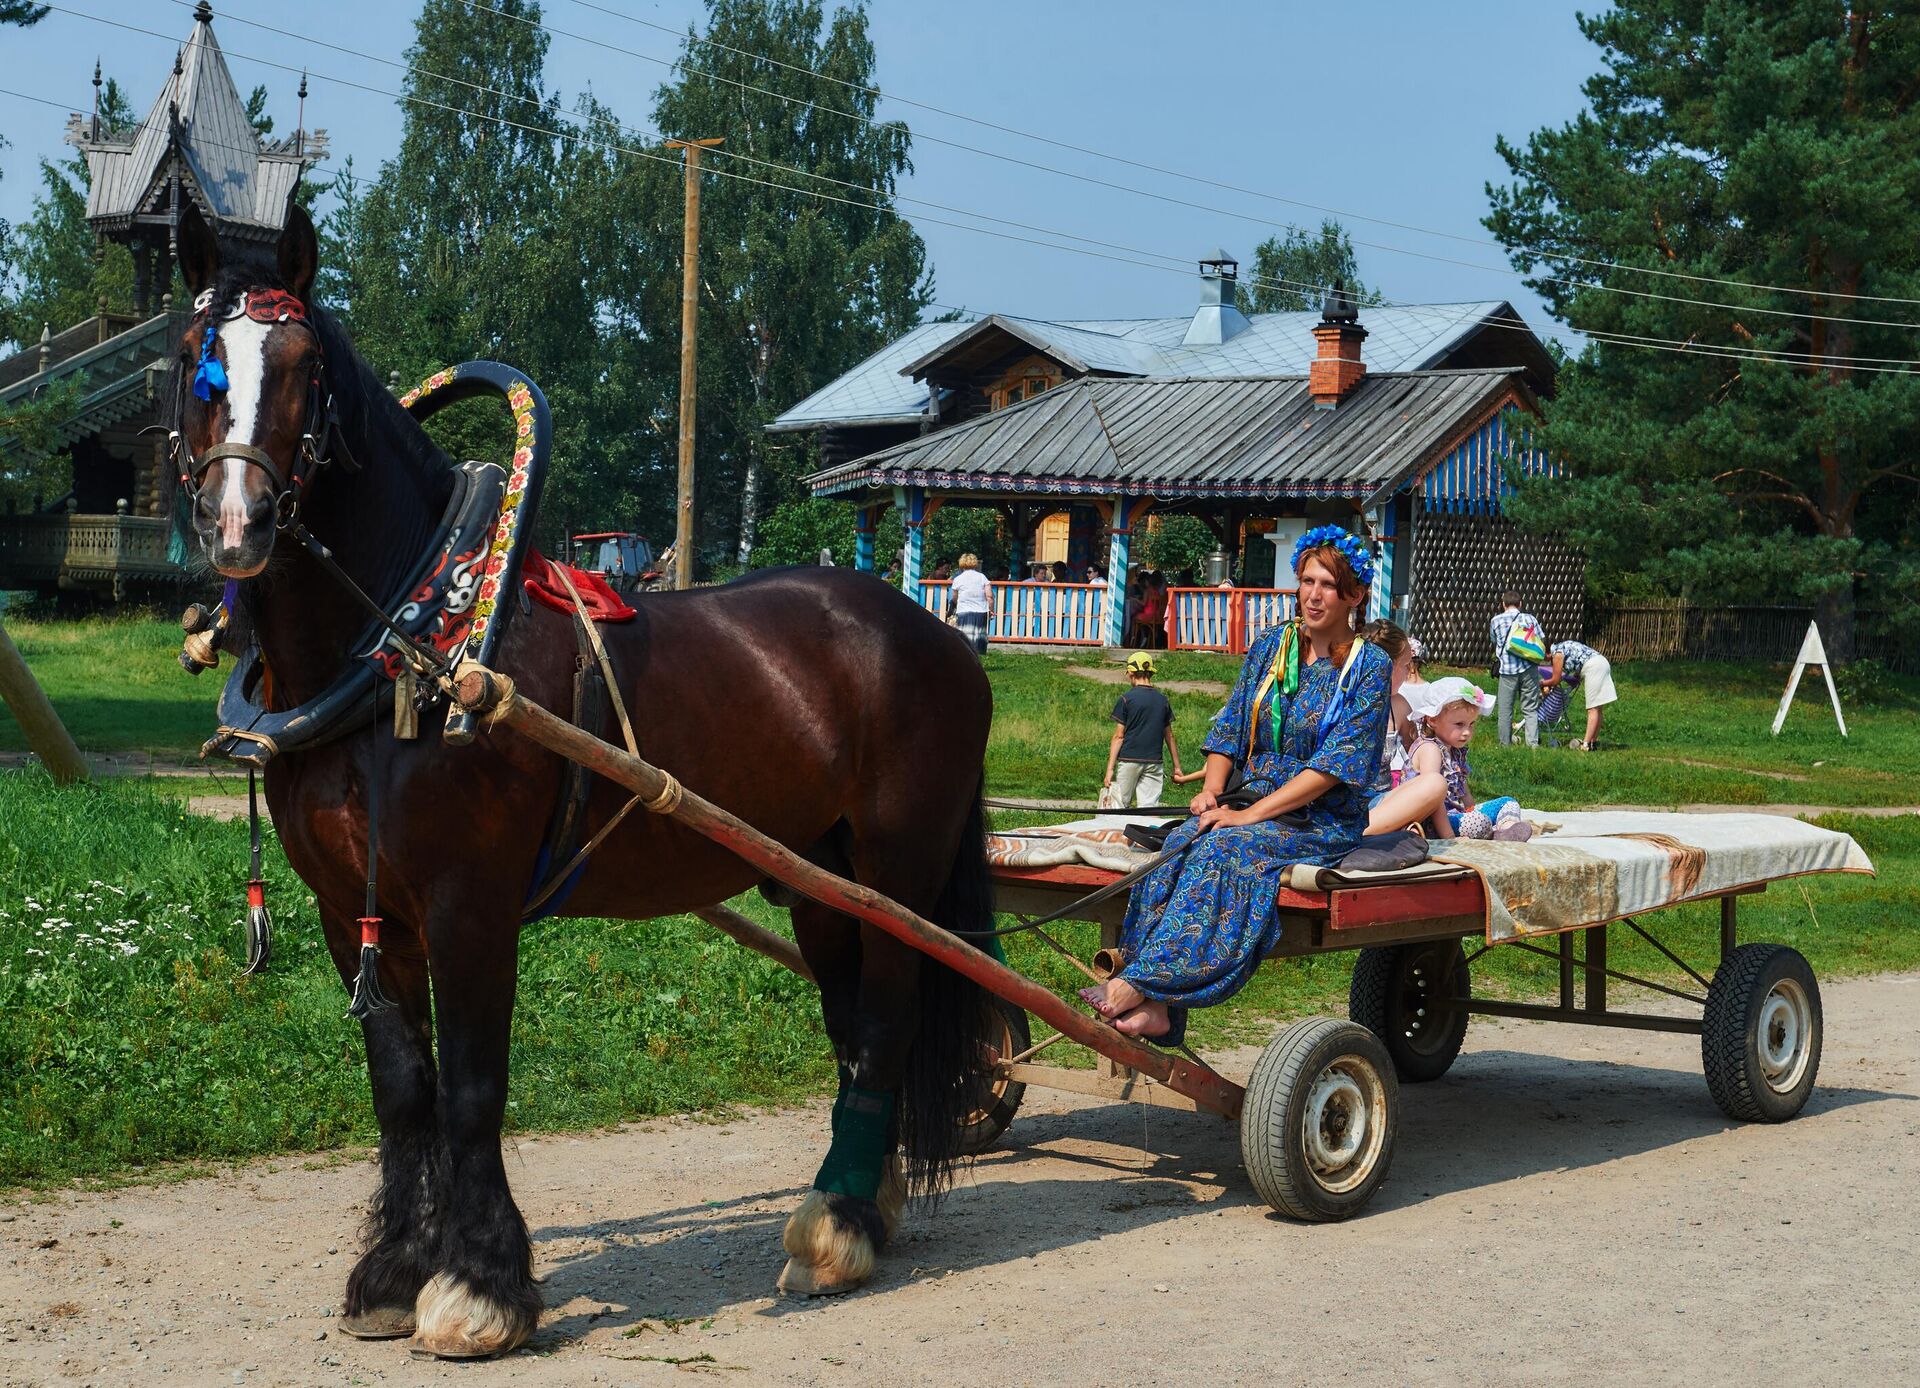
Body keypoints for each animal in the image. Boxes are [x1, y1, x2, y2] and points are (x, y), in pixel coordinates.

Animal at [165, 206, 998, 1359]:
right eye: (191, 363)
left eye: (300, 367)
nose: (237, 521)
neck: (413, 640)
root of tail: (937, 635)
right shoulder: (352, 911)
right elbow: (401, 1089)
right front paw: (394, 1271)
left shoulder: (470, 906)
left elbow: (472, 1090)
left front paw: (480, 1286)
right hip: (821, 881)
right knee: (853, 1023)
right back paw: (859, 1206)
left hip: (898, 871)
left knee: (882, 1023)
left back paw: (835, 1227)